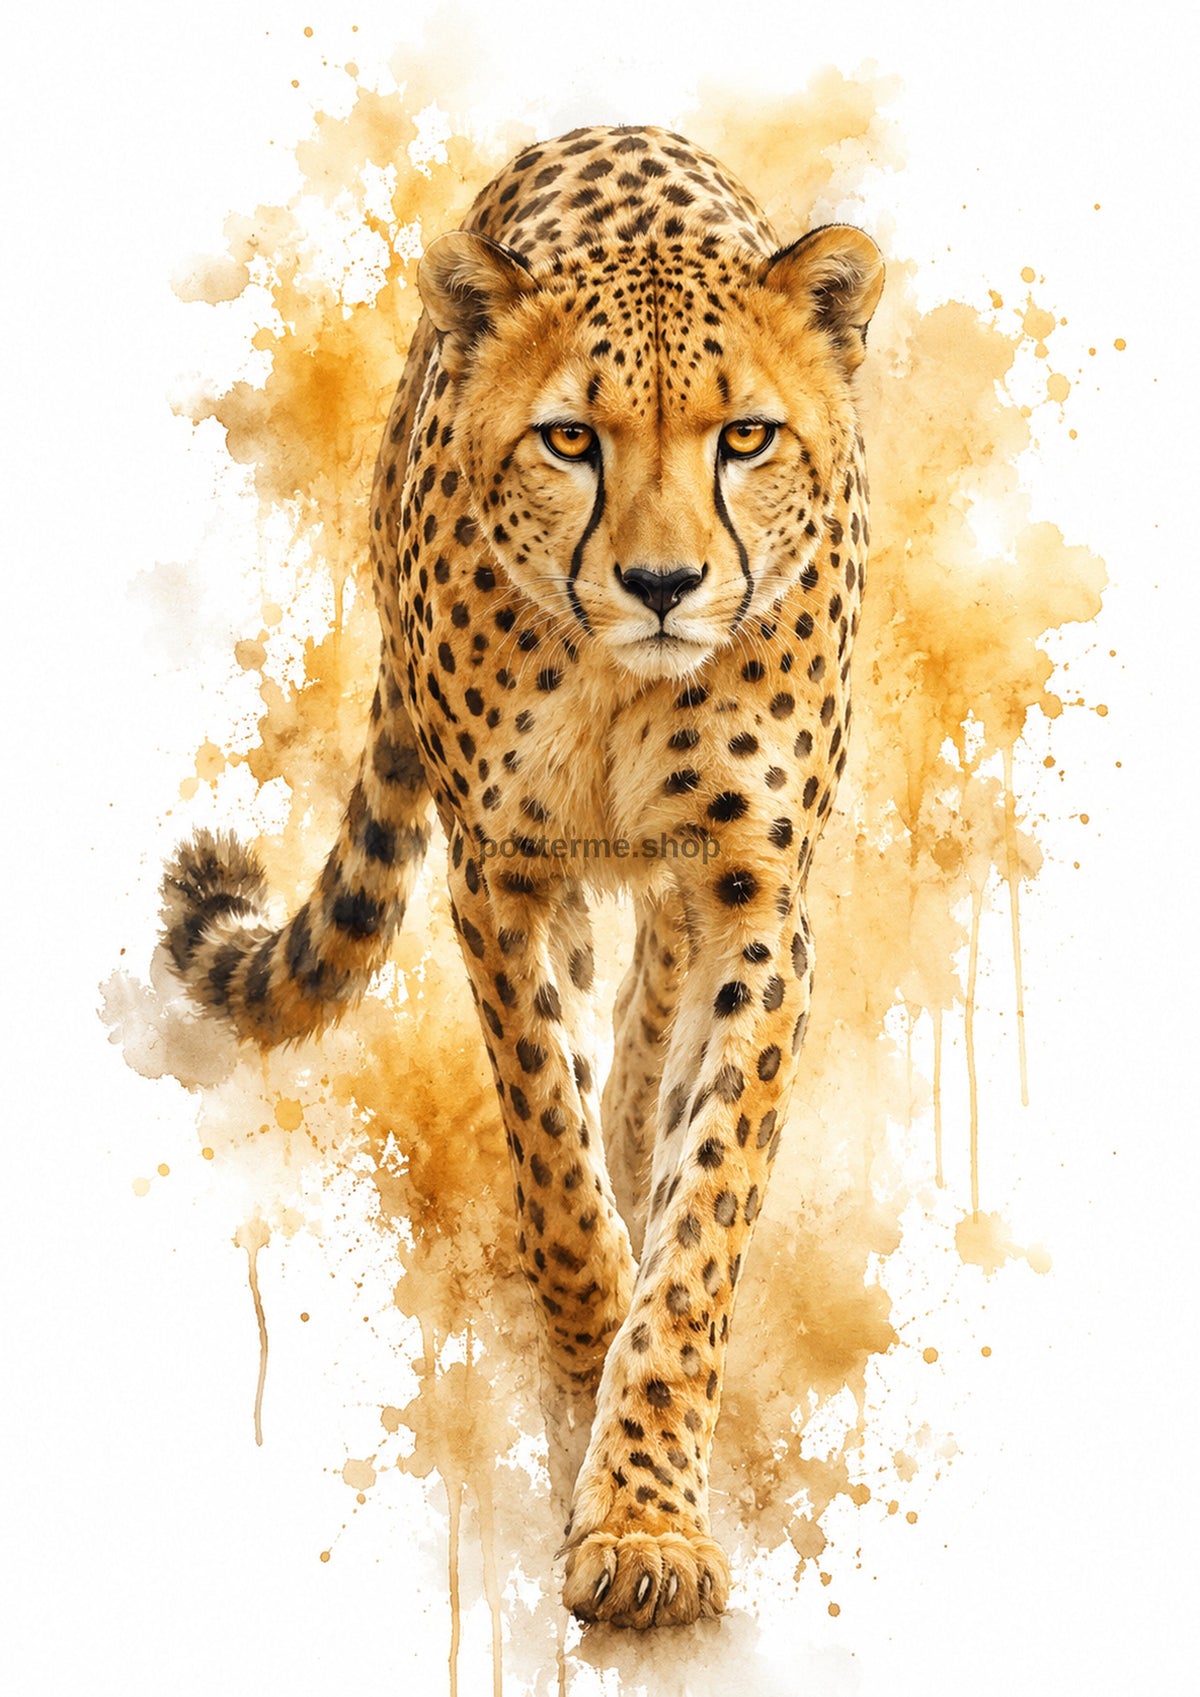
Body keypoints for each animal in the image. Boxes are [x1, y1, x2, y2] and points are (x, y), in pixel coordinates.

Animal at [160, 123, 883, 1630]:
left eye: (745, 436)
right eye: (570, 438)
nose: (663, 583)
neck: (623, 687)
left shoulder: (755, 898)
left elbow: (705, 1209)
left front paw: (646, 1509)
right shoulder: (502, 879)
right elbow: (552, 1150)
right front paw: (590, 1350)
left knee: (652, 1024)